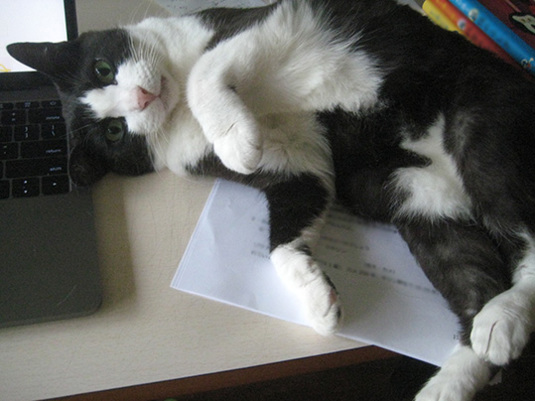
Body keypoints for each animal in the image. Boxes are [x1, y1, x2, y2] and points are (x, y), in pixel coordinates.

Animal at [7, 0, 535, 400]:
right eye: (114, 133)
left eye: (103, 68)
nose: (140, 98)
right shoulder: (303, 165)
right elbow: (287, 233)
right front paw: (318, 298)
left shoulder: (262, 24)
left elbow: (204, 71)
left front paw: (236, 142)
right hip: (419, 199)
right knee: (473, 285)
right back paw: (460, 369)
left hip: (479, 124)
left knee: (521, 226)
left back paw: (504, 318)